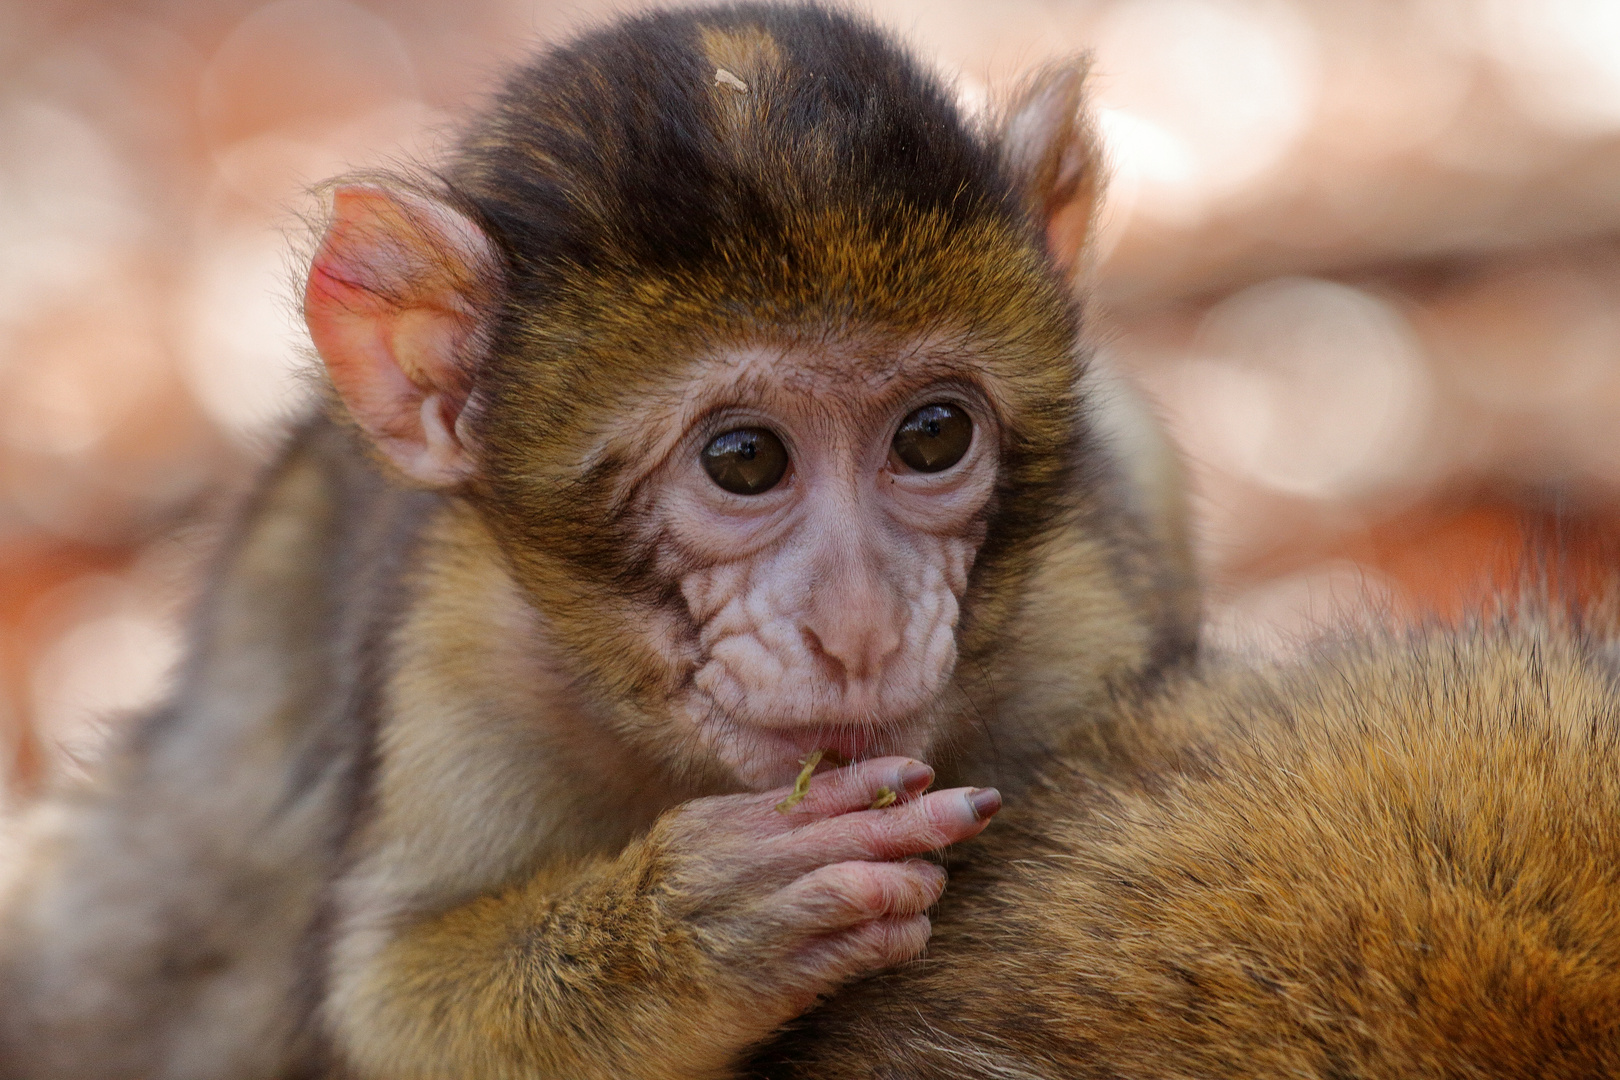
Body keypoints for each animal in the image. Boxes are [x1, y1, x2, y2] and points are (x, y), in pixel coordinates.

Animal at [0, 4, 1192, 1075]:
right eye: (743, 460)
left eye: (934, 436)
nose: (859, 627)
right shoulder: (462, 657)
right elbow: (386, 1002)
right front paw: (697, 930)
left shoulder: (1075, 624)